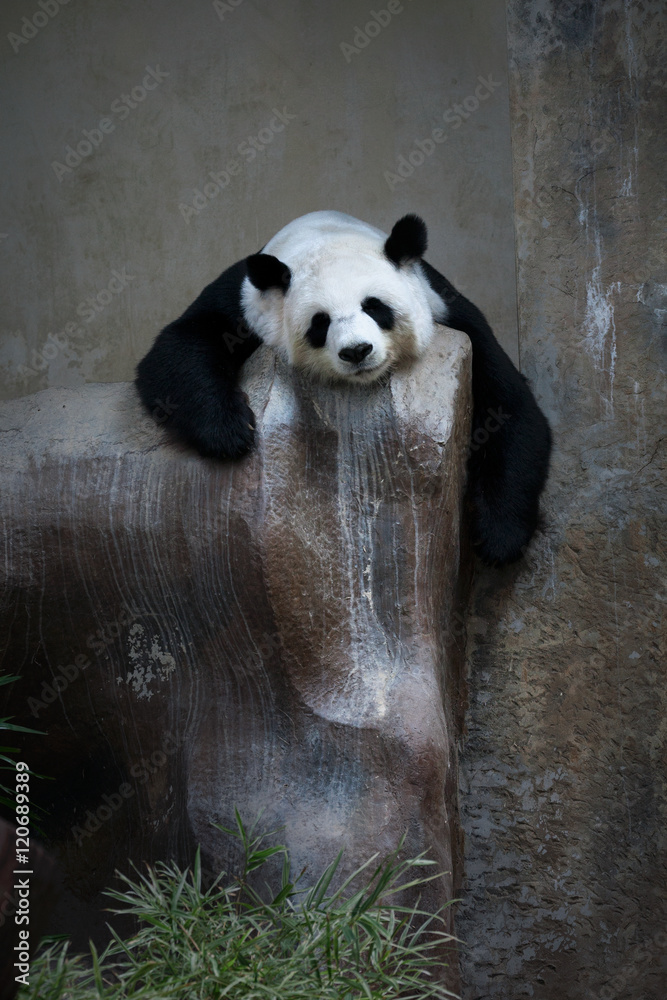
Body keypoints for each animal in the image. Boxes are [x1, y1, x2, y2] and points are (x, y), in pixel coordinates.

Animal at [136, 210, 551, 566]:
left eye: (375, 306)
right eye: (320, 323)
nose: (357, 351)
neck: (326, 234)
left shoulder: (446, 309)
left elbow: (508, 406)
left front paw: (498, 537)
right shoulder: (246, 304)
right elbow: (179, 346)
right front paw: (230, 430)